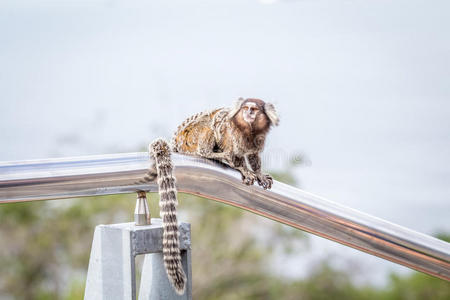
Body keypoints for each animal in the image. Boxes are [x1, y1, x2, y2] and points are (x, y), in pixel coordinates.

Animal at [148, 97, 280, 294]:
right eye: (246, 108)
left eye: (254, 109)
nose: (249, 113)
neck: (248, 131)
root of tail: (175, 143)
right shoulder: (229, 133)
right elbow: (228, 144)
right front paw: (243, 169)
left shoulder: (256, 142)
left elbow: (253, 156)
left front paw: (259, 173)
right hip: (189, 140)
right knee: (207, 131)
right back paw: (214, 154)